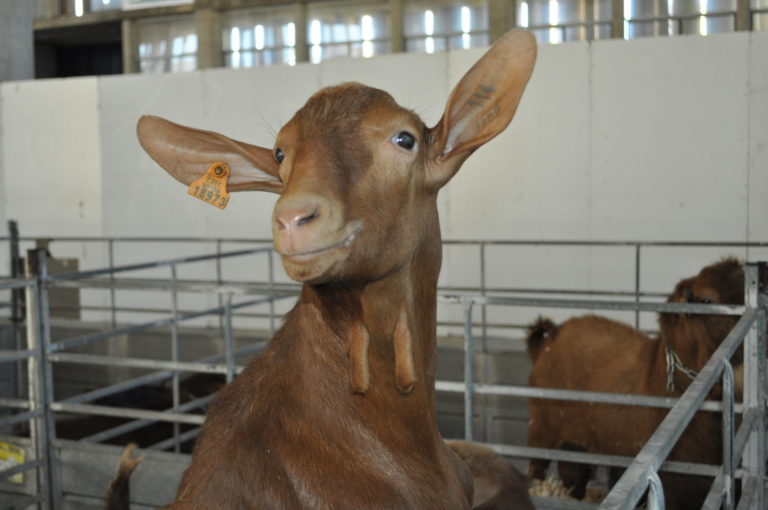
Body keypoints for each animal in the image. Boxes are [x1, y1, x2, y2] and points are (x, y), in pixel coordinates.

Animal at [524, 258, 748, 510]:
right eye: (707, 300)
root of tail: (551, 338)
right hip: (542, 426)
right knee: (538, 467)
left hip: (576, 439)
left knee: (573, 470)